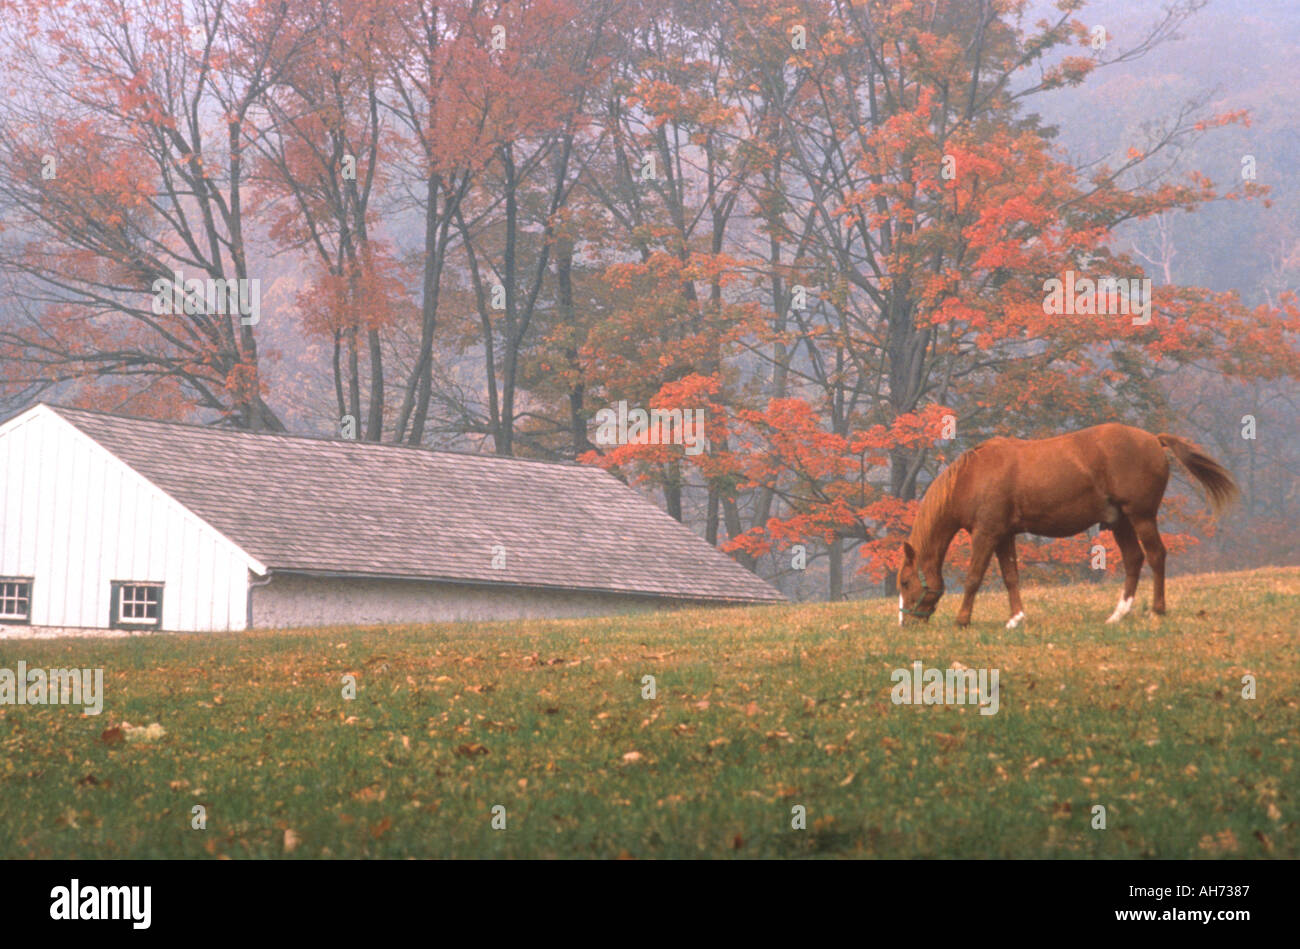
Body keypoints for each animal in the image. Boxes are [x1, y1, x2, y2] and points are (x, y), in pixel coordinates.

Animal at [894, 426, 1237, 624]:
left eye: (906, 583)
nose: (907, 623)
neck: (973, 475)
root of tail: (1153, 439)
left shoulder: (986, 534)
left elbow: (973, 578)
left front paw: (962, 620)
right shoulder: (1004, 535)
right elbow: (1011, 577)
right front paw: (1016, 618)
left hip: (1141, 517)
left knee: (1155, 556)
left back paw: (1157, 610)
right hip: (1120, 522)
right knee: (1134, 559)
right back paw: (1118, 614)